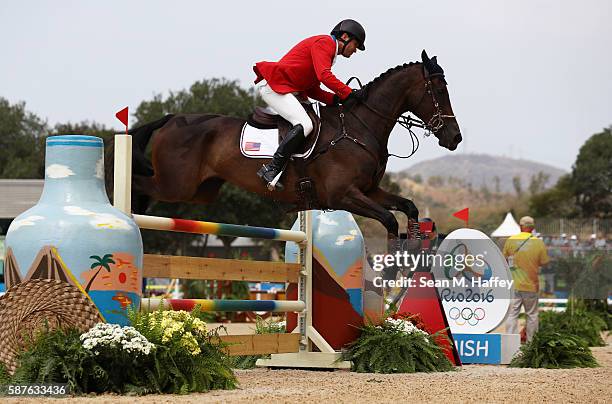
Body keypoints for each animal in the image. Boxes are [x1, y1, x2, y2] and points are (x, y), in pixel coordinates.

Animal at [123, 51, 460, 246]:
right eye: (439, 90)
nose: (454, 138)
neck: (358, 127)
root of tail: (171, 118)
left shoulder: (369, 191)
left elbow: (408, 207)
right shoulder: (344, 195)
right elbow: (389, 219)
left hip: (200, 191)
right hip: (176, 185)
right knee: (139, 183)